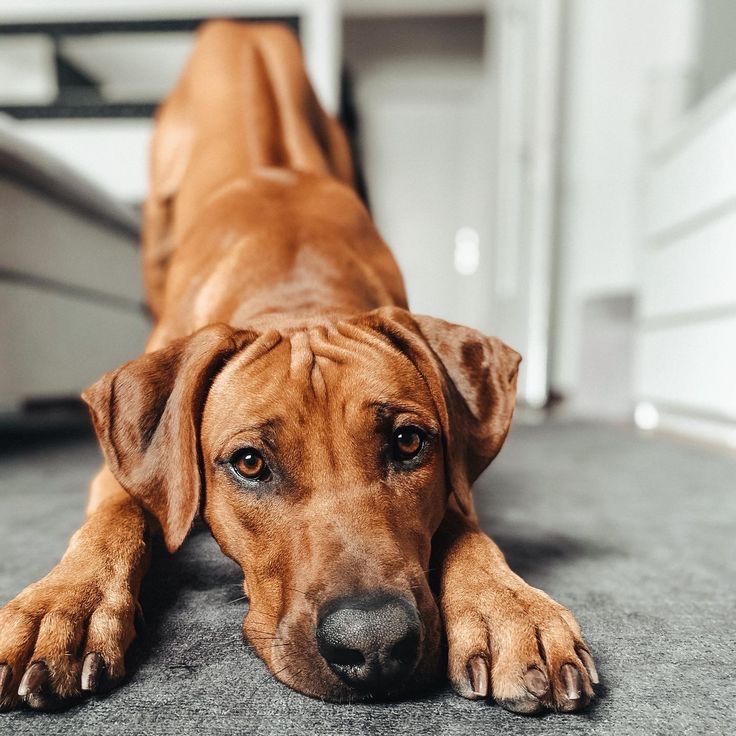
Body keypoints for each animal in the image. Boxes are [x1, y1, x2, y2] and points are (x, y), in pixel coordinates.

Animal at [0, 21, 600, 712]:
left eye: (408, 442)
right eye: (249, 463)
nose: (374, 646)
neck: (295, 292)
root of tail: (243, 26)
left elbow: (465, 526)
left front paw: (509, 607)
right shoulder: (127, 470)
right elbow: (115, 515)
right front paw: (60, 603)